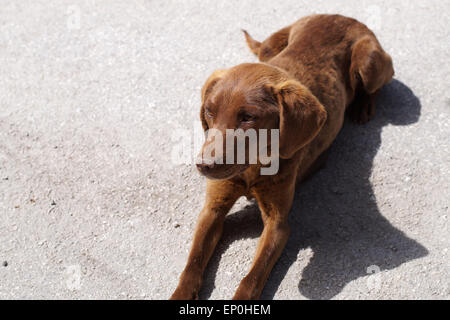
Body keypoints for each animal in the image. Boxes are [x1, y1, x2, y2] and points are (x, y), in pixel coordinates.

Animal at [171, 13, 392, 300]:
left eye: (248, 117)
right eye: (209, 111)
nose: (203, 166)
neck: (252, 169)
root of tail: (343, 16)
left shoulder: (278, 224)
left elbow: (252, 278)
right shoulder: (212, 209)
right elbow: (192, 265)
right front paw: (181, 294)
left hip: (369, 63)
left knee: (378, 82)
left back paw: (364, 105)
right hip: (269, 47)